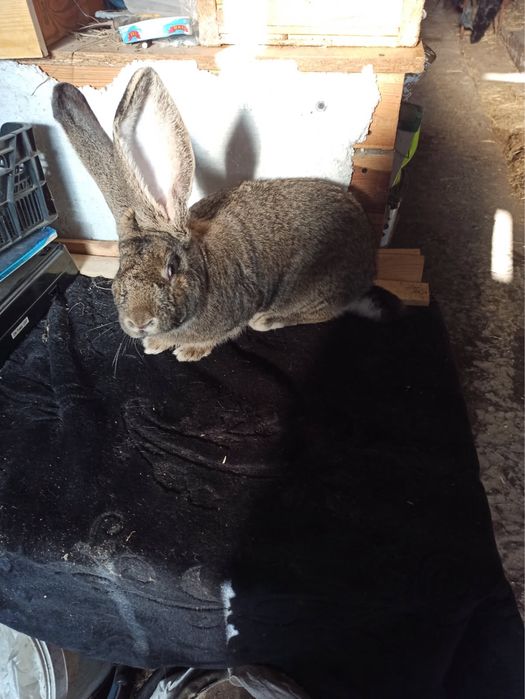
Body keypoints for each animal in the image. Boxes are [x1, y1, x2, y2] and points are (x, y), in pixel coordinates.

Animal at [52, 67, 393, 362]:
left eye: (172, 268)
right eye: (119, 268)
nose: (139, 321)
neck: (204, 271)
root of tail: (369, 265)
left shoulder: (240, 308)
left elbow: (221, 334)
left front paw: (189, 352)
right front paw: (155, 344)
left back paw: (268, 319)